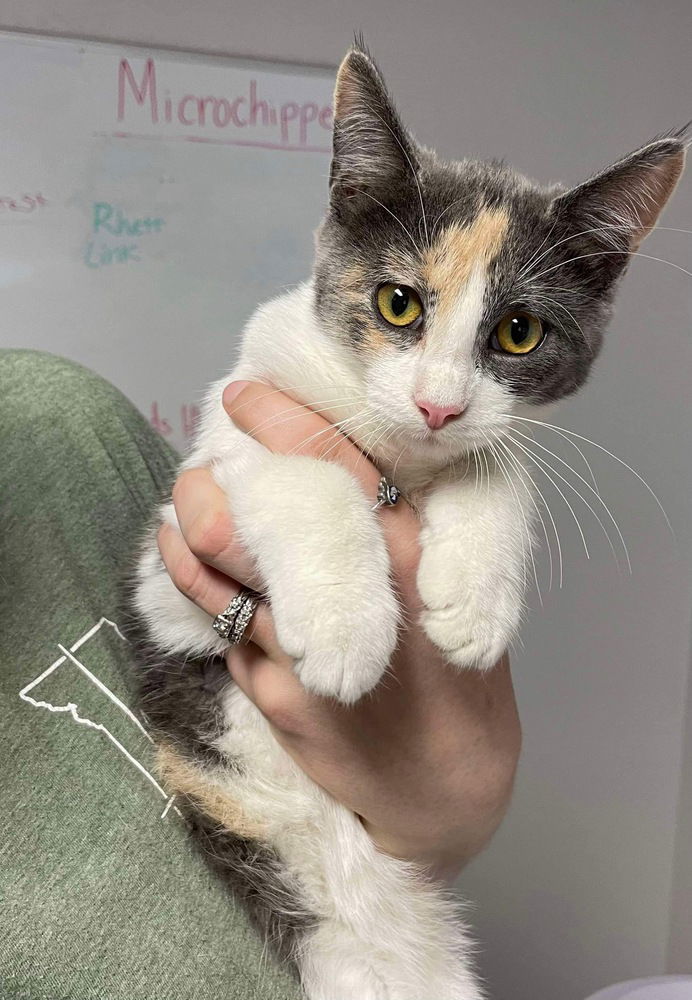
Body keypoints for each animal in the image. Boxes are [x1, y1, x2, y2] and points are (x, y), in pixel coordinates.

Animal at [131, 41, 688, 1000]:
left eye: (518, 331)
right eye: (399, 303)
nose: (437, 405)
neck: (403, 464)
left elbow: (499, 465)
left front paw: (474, 602)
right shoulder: (171, 571)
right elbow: (305, 472)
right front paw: (347, 628)